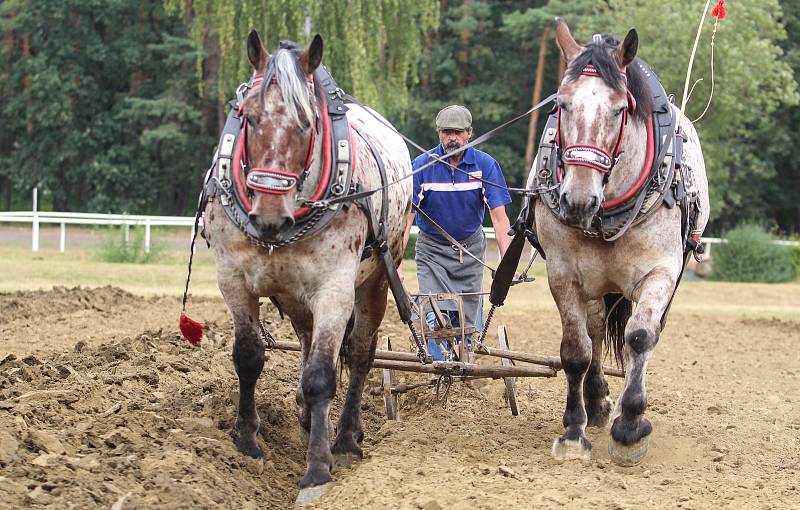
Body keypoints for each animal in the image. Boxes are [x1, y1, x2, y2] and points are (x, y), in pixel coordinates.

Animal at [200, 30, 412, 486]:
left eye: (308, 122)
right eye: (248, 117)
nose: (268, 215)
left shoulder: (334, 288)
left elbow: (322, 374)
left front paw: (318, 466)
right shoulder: (233, 279)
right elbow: (248, 357)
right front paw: (248, 443)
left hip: (376, 279)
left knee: (361, 353)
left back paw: (345, 437)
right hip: (296, 297)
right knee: (305, 340)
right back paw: (306, 417)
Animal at [528, 20, 708, 466]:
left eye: (619, 109)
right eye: (562, 104)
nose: (577, 200)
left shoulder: (661, 272)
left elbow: (640, 337)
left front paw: (630, 427)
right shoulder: (563, 275)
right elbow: (576, 350)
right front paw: (573, 431)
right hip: (596, 284)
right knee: (594, 330)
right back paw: (595, 403)